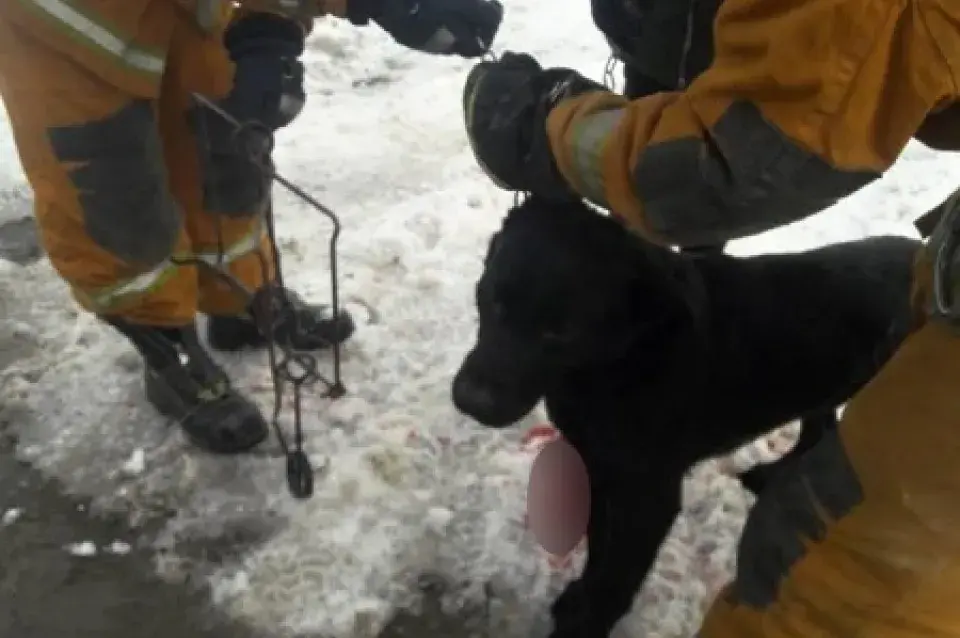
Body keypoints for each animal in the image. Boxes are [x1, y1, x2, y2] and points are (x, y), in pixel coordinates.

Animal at [450, 198, 916, 638]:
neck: (619, 360)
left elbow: (616, 577)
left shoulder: (649, 498)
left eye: (560, 332)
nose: (471, 401)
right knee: (819, 429)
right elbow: (599, 550)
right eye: (492, 298)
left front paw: (584, 625)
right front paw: (577, 599)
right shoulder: (600, 469)